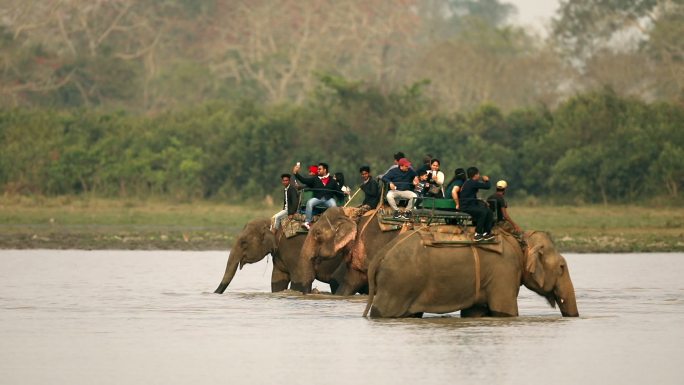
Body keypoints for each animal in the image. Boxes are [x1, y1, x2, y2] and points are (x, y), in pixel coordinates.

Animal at [364, 230, 576, 316]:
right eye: (562, 267)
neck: (519, 241)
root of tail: (381, 254)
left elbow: (475, 312)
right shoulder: (505, 271)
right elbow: (505, 310)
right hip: (397, 285)